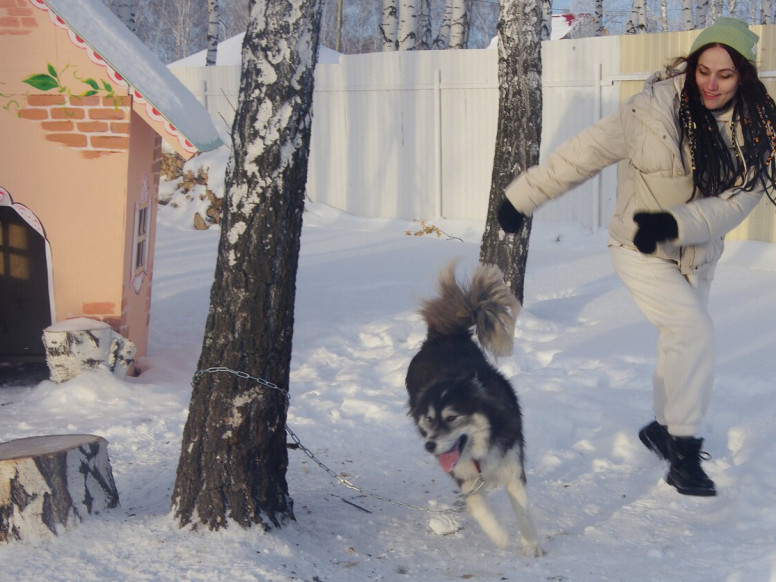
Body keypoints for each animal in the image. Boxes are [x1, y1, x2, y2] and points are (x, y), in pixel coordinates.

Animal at [410, 262, 544, 560]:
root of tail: (442, 336)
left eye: (451, 418)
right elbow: (481, 509)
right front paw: (501, 536)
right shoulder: (464, 477)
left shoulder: (512, 466)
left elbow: (524, 512)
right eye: (429, 419)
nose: (429, 445)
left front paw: (532, 545)